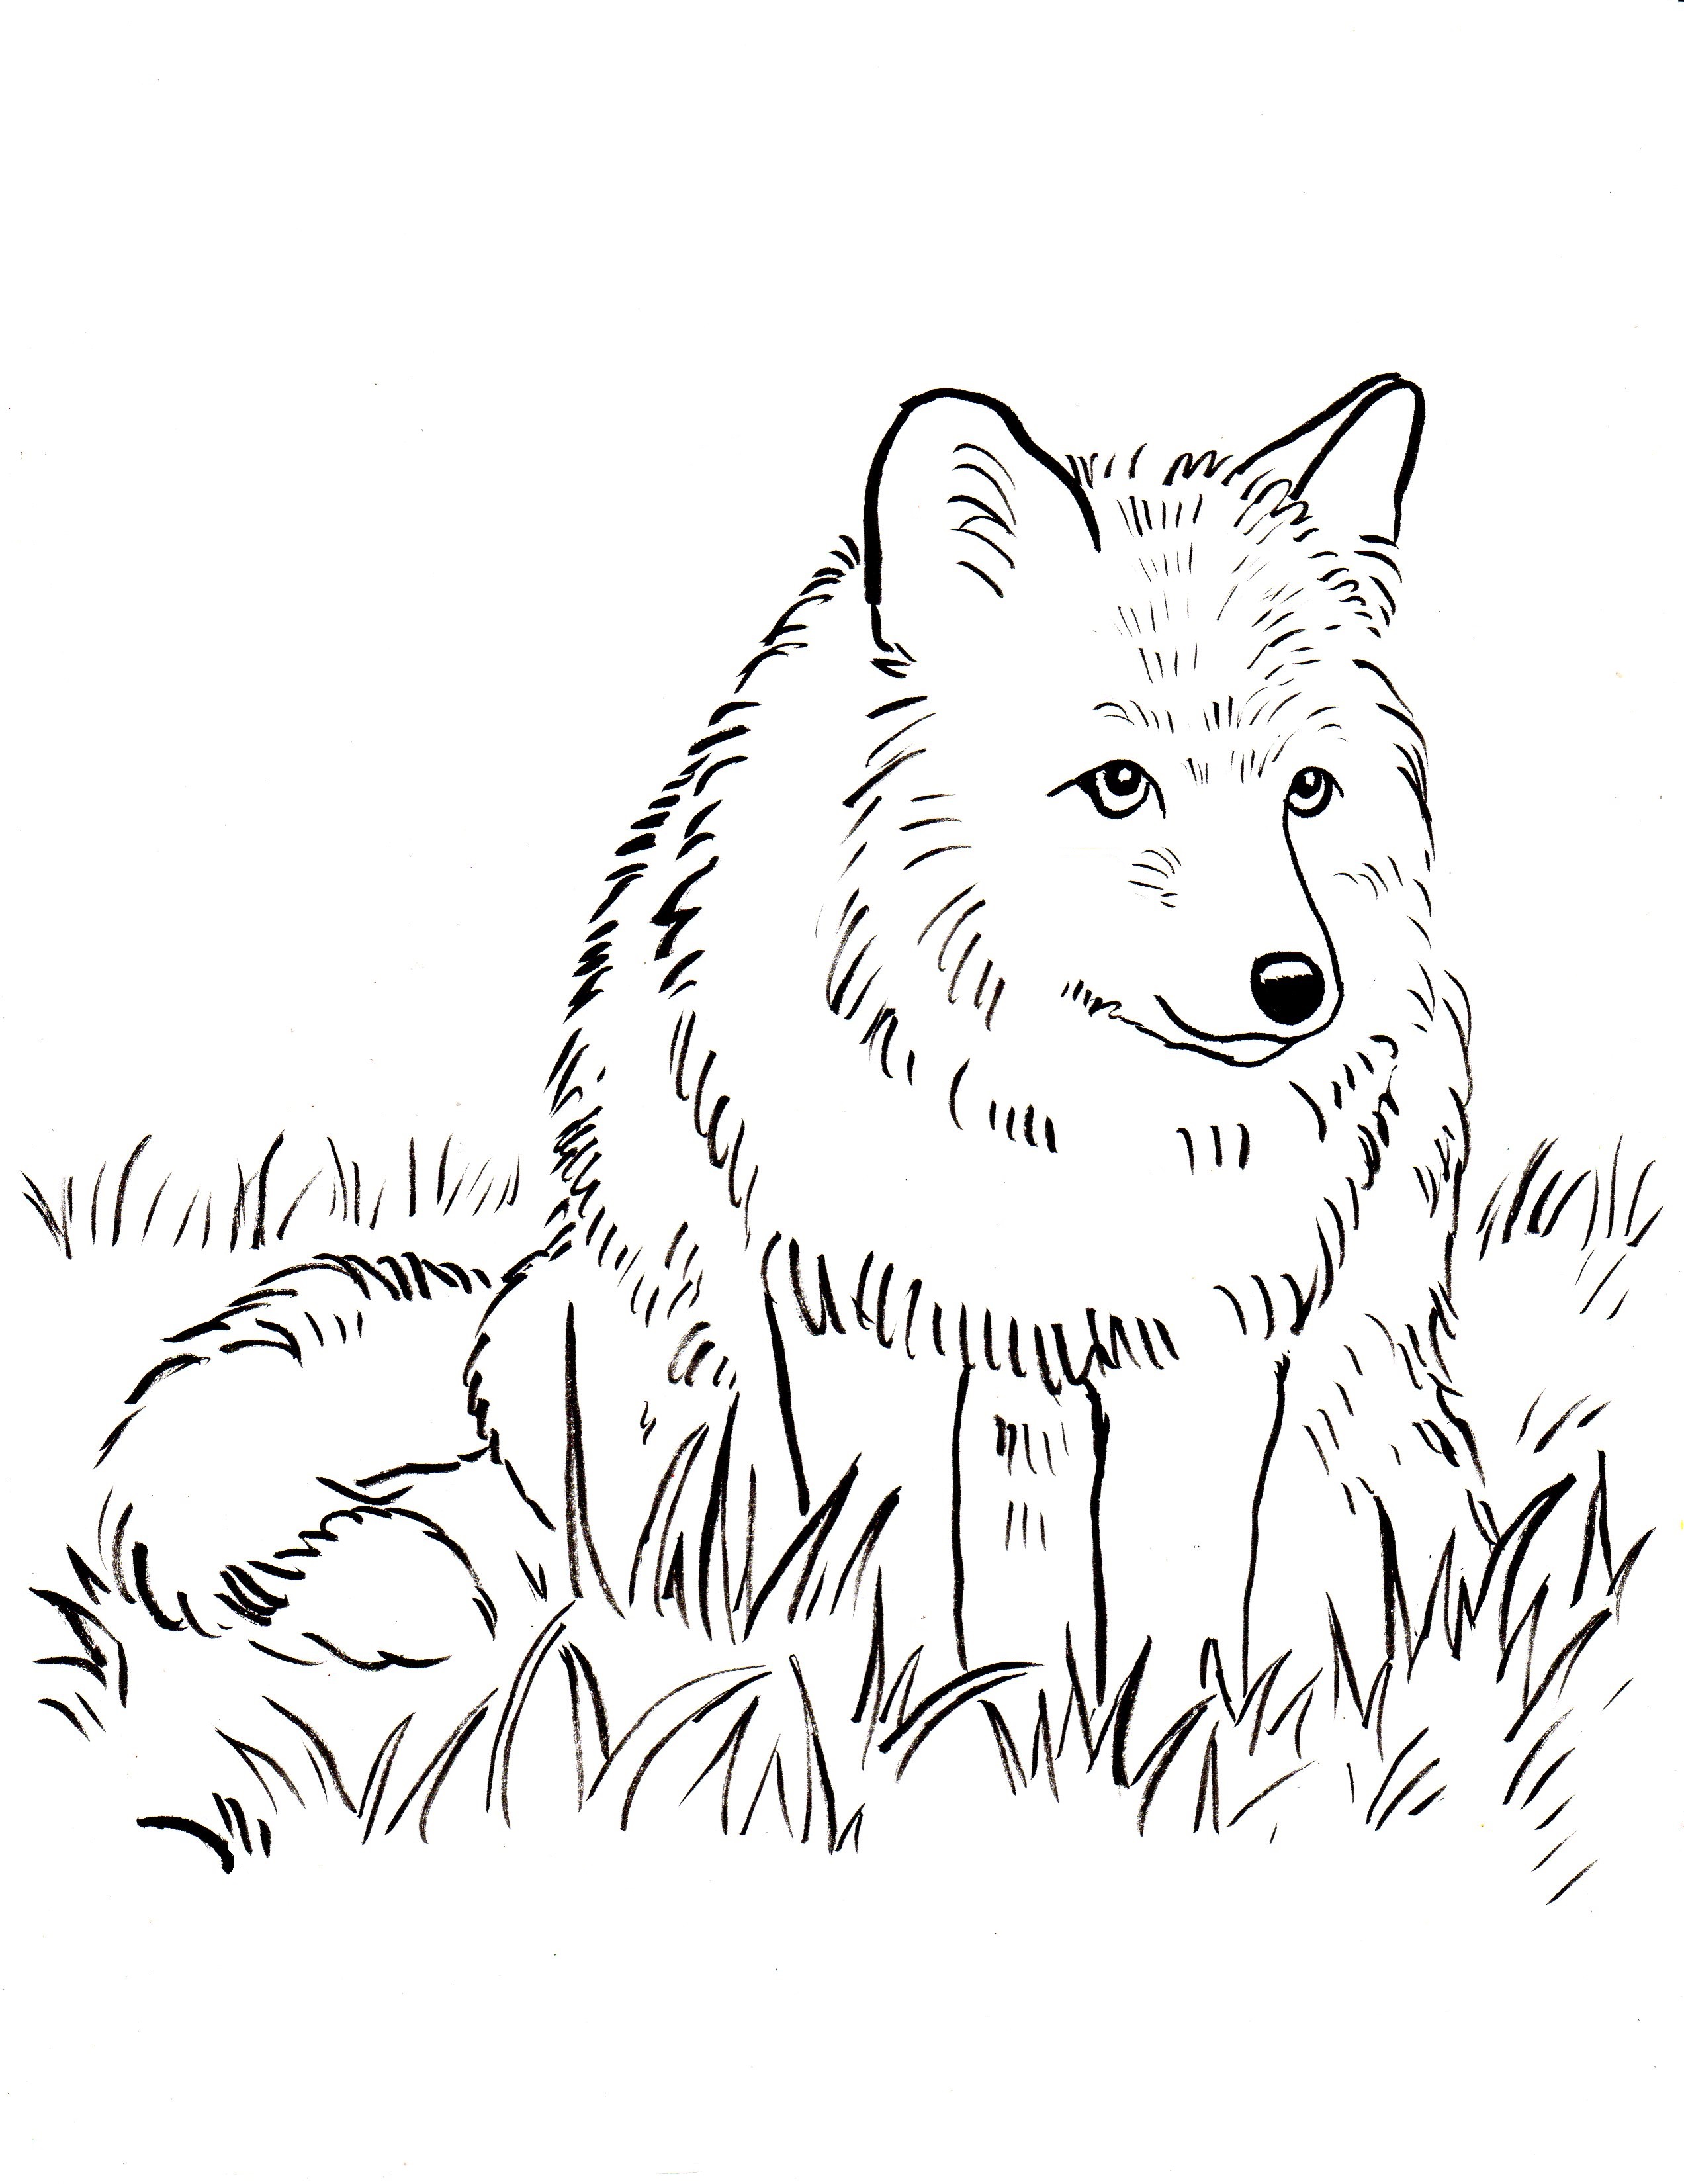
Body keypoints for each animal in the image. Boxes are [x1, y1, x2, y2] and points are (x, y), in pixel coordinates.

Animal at [48, 374, 1619, 1857]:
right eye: (1119, 785)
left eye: (1308, 791)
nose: (1296, 988)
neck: (1059, 1127)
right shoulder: (862, 1320)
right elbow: (902, 1586)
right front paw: (921, 1749)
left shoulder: (1211, 1342)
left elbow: (1178, 1609)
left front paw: (1182, 1762)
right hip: (615, 1384)